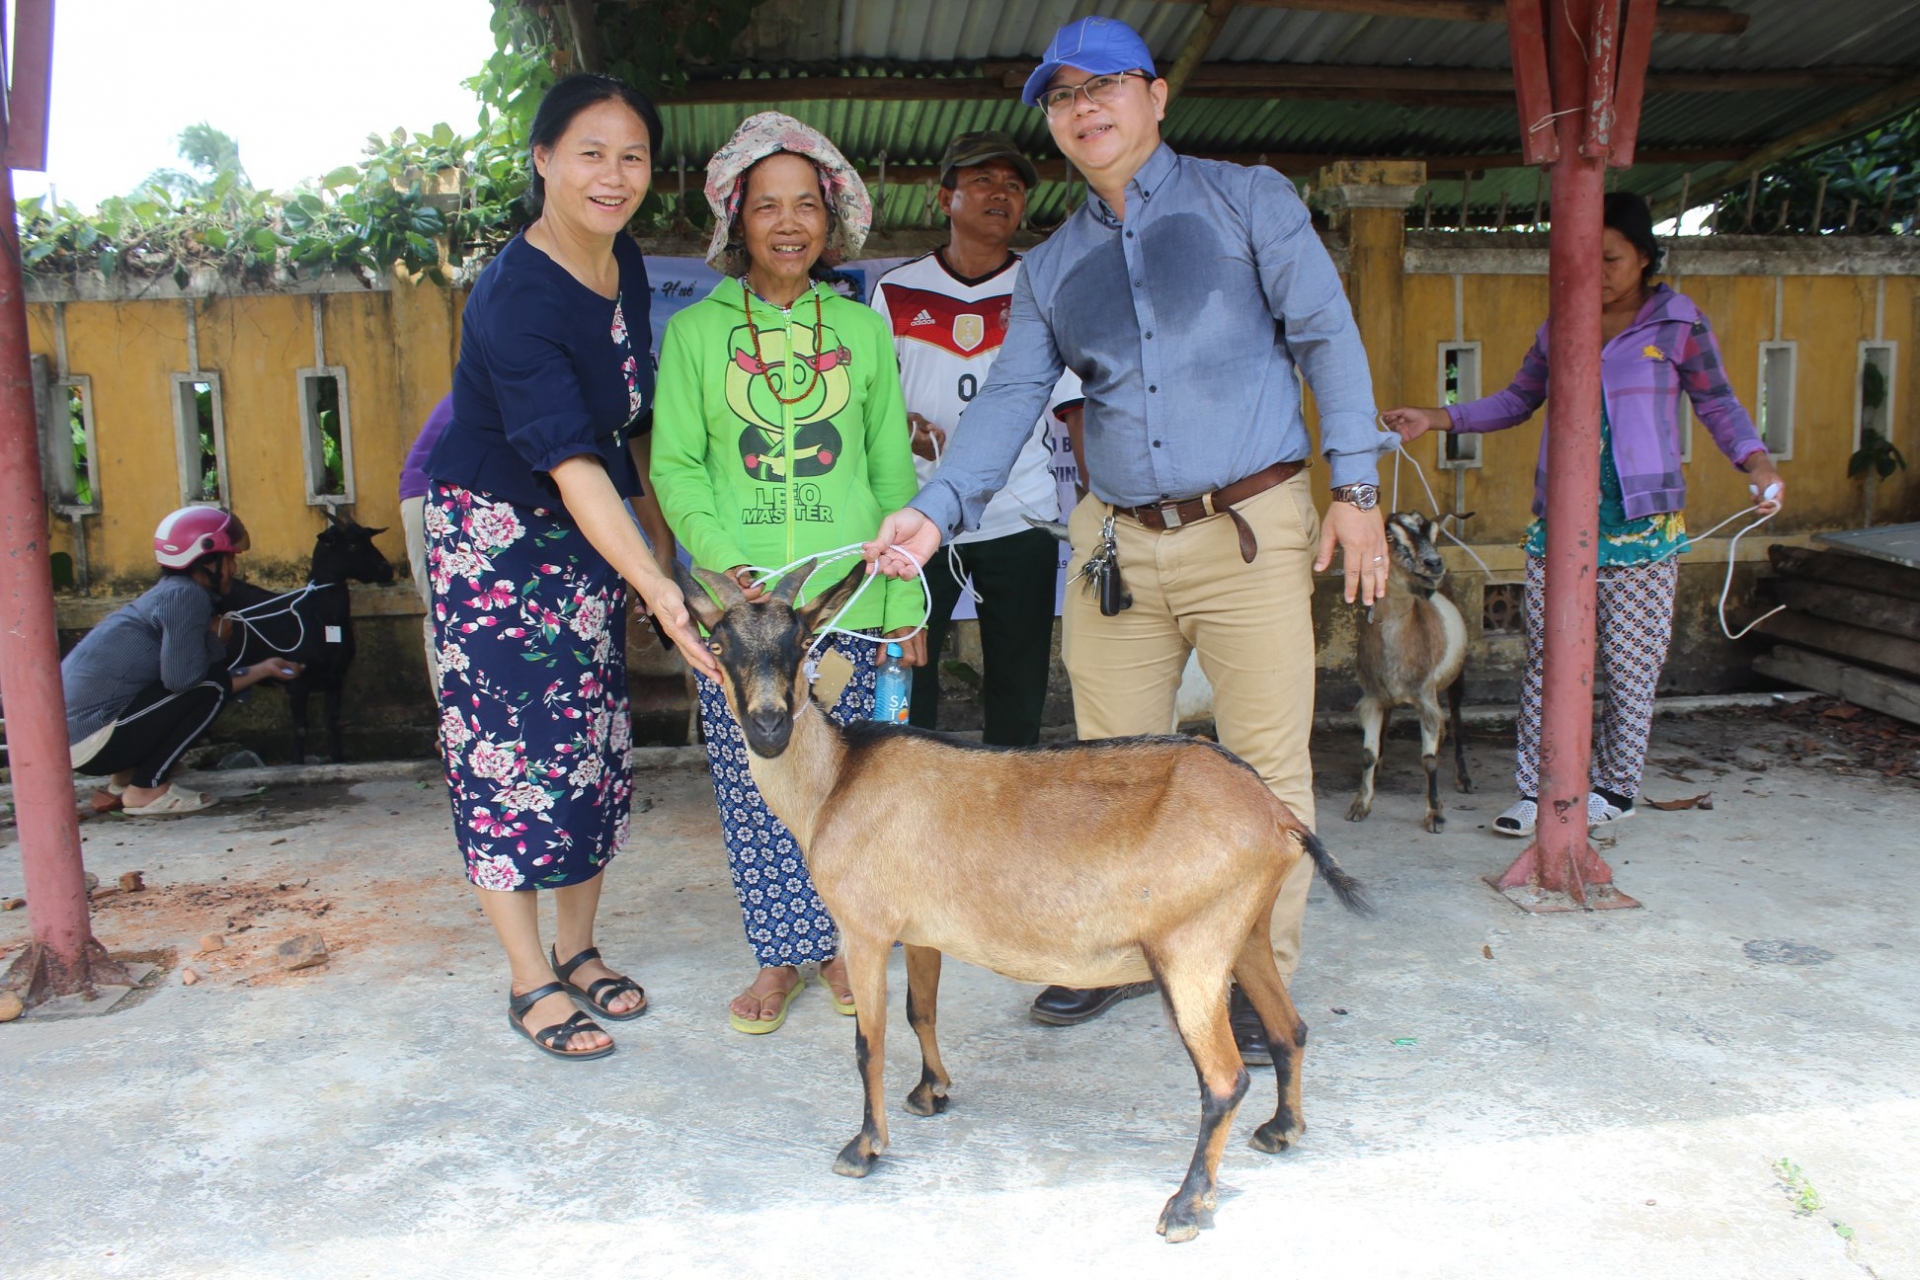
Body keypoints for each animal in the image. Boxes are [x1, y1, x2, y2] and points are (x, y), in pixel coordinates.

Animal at [221, 514, 393, 767]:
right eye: (352, 545)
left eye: (369, 539)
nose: (387, 570)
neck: (319, 616)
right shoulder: (297, 681)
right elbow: (301, 727)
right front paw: (297, 762)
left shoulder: (335, 678)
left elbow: (333, 721)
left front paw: (337, 758)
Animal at [683, 556, 1374, 1243]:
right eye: (717, 645)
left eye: (801, 643)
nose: (769, 726)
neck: (836, 783)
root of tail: (1276, 815)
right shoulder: (922, 930)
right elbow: (921, 1012)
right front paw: (931, 1093)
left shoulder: (866, 927)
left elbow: (868, 1041)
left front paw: (865, 1147)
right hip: (1247, 930)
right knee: (1289, 1028)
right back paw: (1281, 1131)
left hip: (1192, 950)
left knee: (1225, 1078)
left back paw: (1186, 1205)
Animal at [1344, 514, 1474, 836]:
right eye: (1389, 537)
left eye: (1435, 535)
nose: (1434, 564)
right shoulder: (1372, 697)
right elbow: (1367, 754)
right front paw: (1360, 804)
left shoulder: (1425, 698)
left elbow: (1429, 760)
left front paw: (1435, 814)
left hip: (1457, 674)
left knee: (1455, 719)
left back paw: (1463, 777)